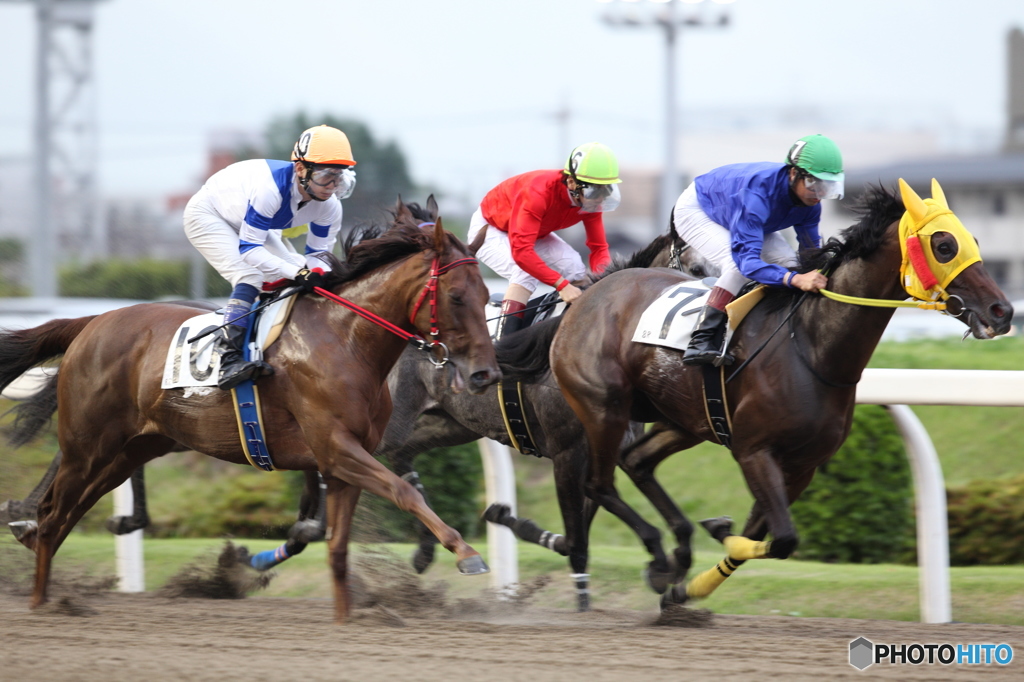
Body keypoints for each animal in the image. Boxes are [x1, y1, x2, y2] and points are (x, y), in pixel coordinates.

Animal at [0, 197, 499, 622]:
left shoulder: (341, 463)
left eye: (484, 296)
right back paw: (42, 601)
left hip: (130, 451)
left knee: (65, 514)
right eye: (457, 296)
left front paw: (345, 620)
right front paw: (467, 554)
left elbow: (338, 546)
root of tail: (91, 322)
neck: (345, 339)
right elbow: (405, 492)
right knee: (53, 515)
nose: (485, 374)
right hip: (88, 446)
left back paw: (41, 569)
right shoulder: (337, 449)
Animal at [497, 179, 1015, 602]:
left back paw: (675, 550)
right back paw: (661, 556)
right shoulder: (754, 450)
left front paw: (691, 583)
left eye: (972, 240)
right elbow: (781, 538)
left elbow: (763, 537)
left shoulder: (803, 464)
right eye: (944, 244)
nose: (1002, 310)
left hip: (683, 418)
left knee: (637, 461)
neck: (811, 347)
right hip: (604, 407)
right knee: (599, 482)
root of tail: (583, 297)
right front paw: (705, 542)